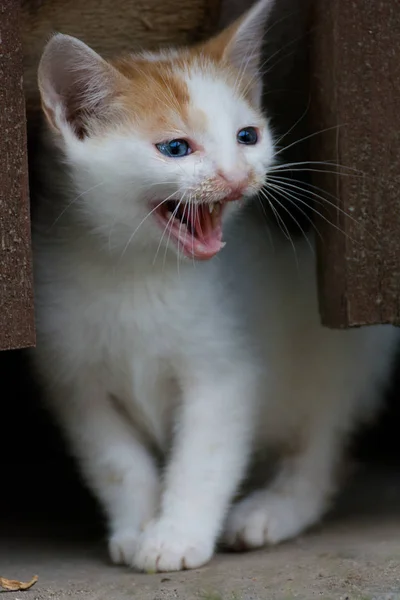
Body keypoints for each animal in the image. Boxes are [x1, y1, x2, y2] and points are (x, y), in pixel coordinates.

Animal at [32, 0, 400, 576]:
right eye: (175, 148)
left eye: (247, 136)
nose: (236, 176)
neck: (135, 270)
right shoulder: (75, 383)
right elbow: (116, 462)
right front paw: (136, 527)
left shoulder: (225, 373)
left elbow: (202, 458)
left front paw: (176, 535)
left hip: (355, 349)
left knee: (322, 450)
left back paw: (272, 510)